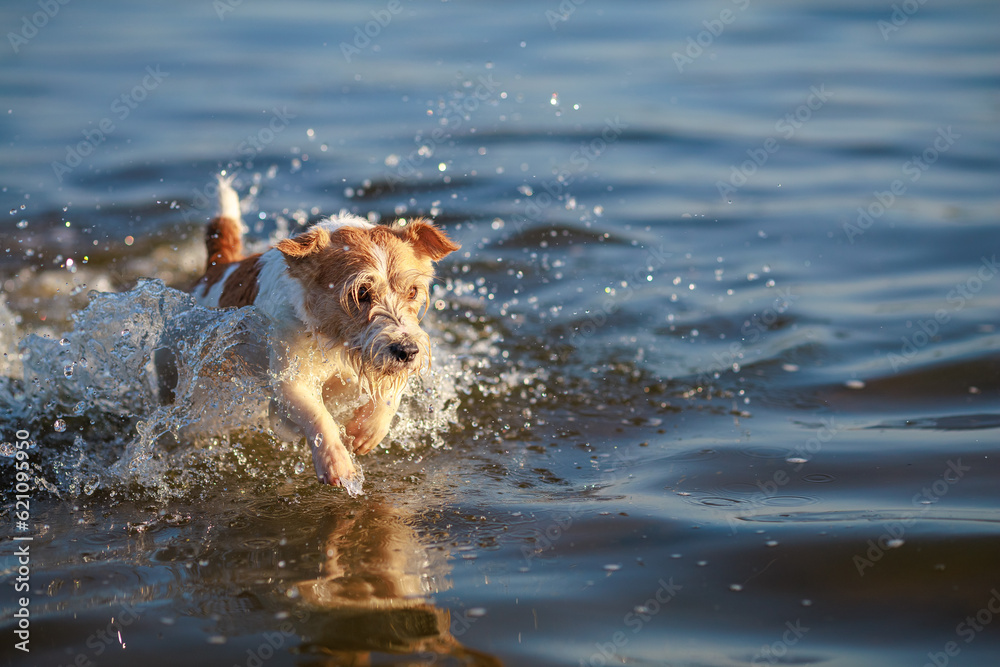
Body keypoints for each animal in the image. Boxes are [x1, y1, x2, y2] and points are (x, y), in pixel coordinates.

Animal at [189, 177, 458, 490]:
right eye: (361, 293)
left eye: (413, 291)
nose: (407, 351)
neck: (335, 340)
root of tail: (219, 266)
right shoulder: (290, 379)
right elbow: (316, 414)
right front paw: (337, 463)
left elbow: (391, 393)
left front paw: (367, 429)